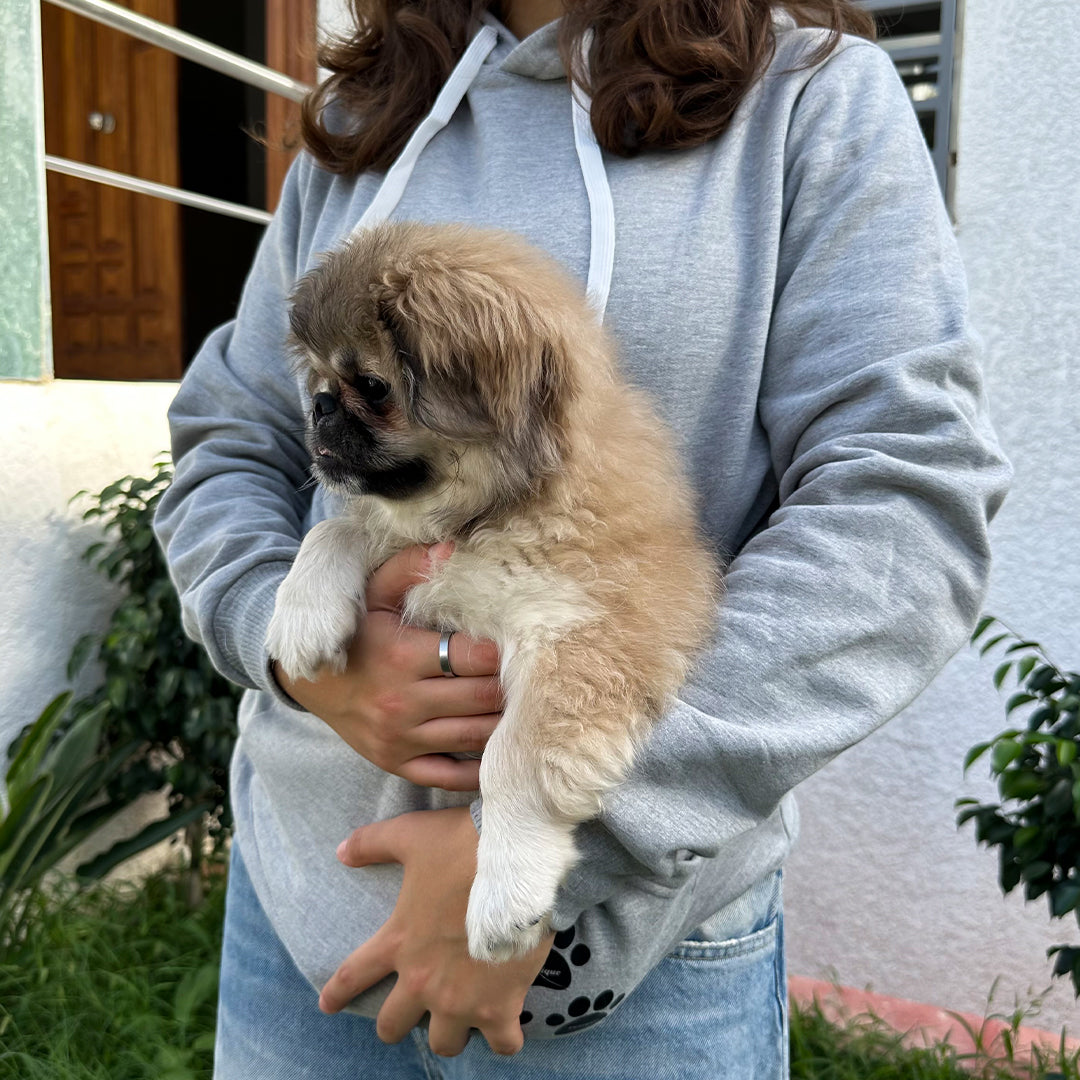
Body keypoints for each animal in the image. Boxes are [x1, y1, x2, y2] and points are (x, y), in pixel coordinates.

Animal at [266, 221, 721, 963]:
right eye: (321, 380)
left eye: (373, 385)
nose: (320, 405)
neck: (491, 513)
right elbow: (335, 530)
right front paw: (302, 620)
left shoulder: (581, 636)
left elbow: (511, 763)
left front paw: (504, 898)